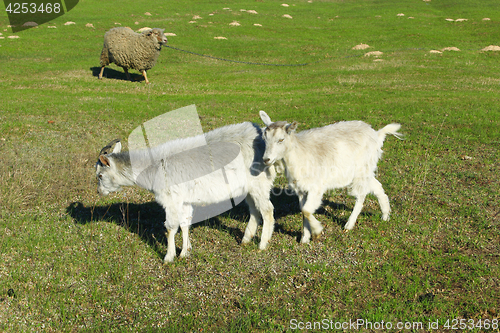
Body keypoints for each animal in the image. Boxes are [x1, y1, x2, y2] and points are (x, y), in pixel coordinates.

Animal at [94, 120, 278, 260]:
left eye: (100, 175)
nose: (99, 192)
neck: (152, 167)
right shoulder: (184, 200)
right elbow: (184, 224)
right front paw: (185, 252)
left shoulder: (170, 199)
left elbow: (170, 227)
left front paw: (169, 257)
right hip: (249, 189)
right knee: (254, 210)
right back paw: (246, 239)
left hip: (259, 184)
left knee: (267, 210)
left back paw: (262, 244)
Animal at [260, 110, 400, 243]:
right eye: (265, 139)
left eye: (281, 140)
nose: (266, 159)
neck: (299, 154)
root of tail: (377, 134)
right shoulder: (300, 189)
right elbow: (303, 211)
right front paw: (305, 238)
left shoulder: (316, 187)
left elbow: (306, 210)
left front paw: (317, 231)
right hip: (365, 170)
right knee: (377, 186)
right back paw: (385, 215)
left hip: (362, 168)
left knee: (361, 195)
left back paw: (349, 224)